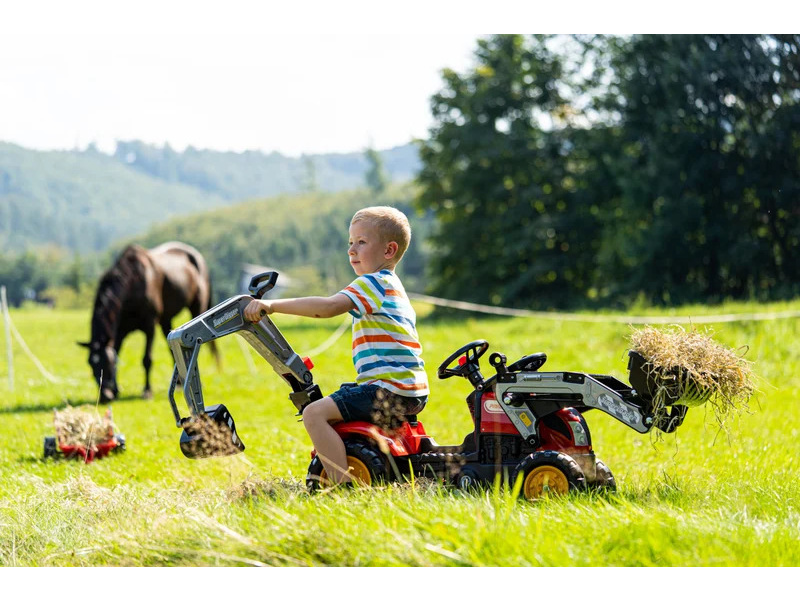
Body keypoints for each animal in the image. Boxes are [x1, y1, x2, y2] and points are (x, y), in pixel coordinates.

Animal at [78, 240, 219, 404]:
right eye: (91, 363)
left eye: (106, 362)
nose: (104, 396)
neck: (132, 284)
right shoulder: (120, 331)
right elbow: (117, 353)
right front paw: (116, 390)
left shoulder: (149, 327)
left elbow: (147, 360)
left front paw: (147, 391)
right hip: (166, 320)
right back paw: (179, 384)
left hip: (196, 307)